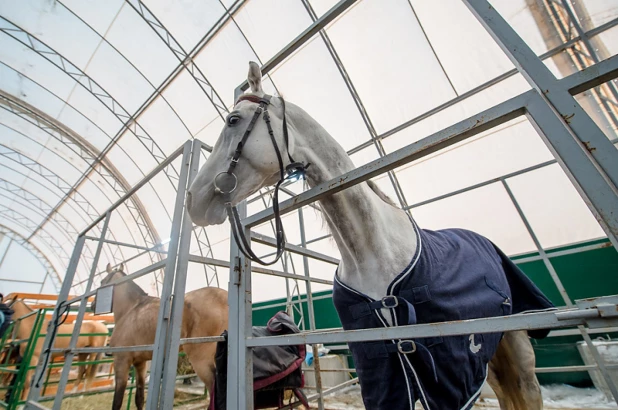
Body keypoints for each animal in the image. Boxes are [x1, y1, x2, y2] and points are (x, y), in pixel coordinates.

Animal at [97, 264, 227, 408]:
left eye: (102, 281)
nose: (93, 305)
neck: (131, 309)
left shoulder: (122, 360)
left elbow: (117, 401)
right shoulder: (140, 363)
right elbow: (139, 398)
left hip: (200, 359)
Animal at [186, 61, 544, 410]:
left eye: (233, 120)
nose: (193, 200)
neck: (371, 251)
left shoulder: (445, 371)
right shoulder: (381, 369)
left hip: (516, 349)